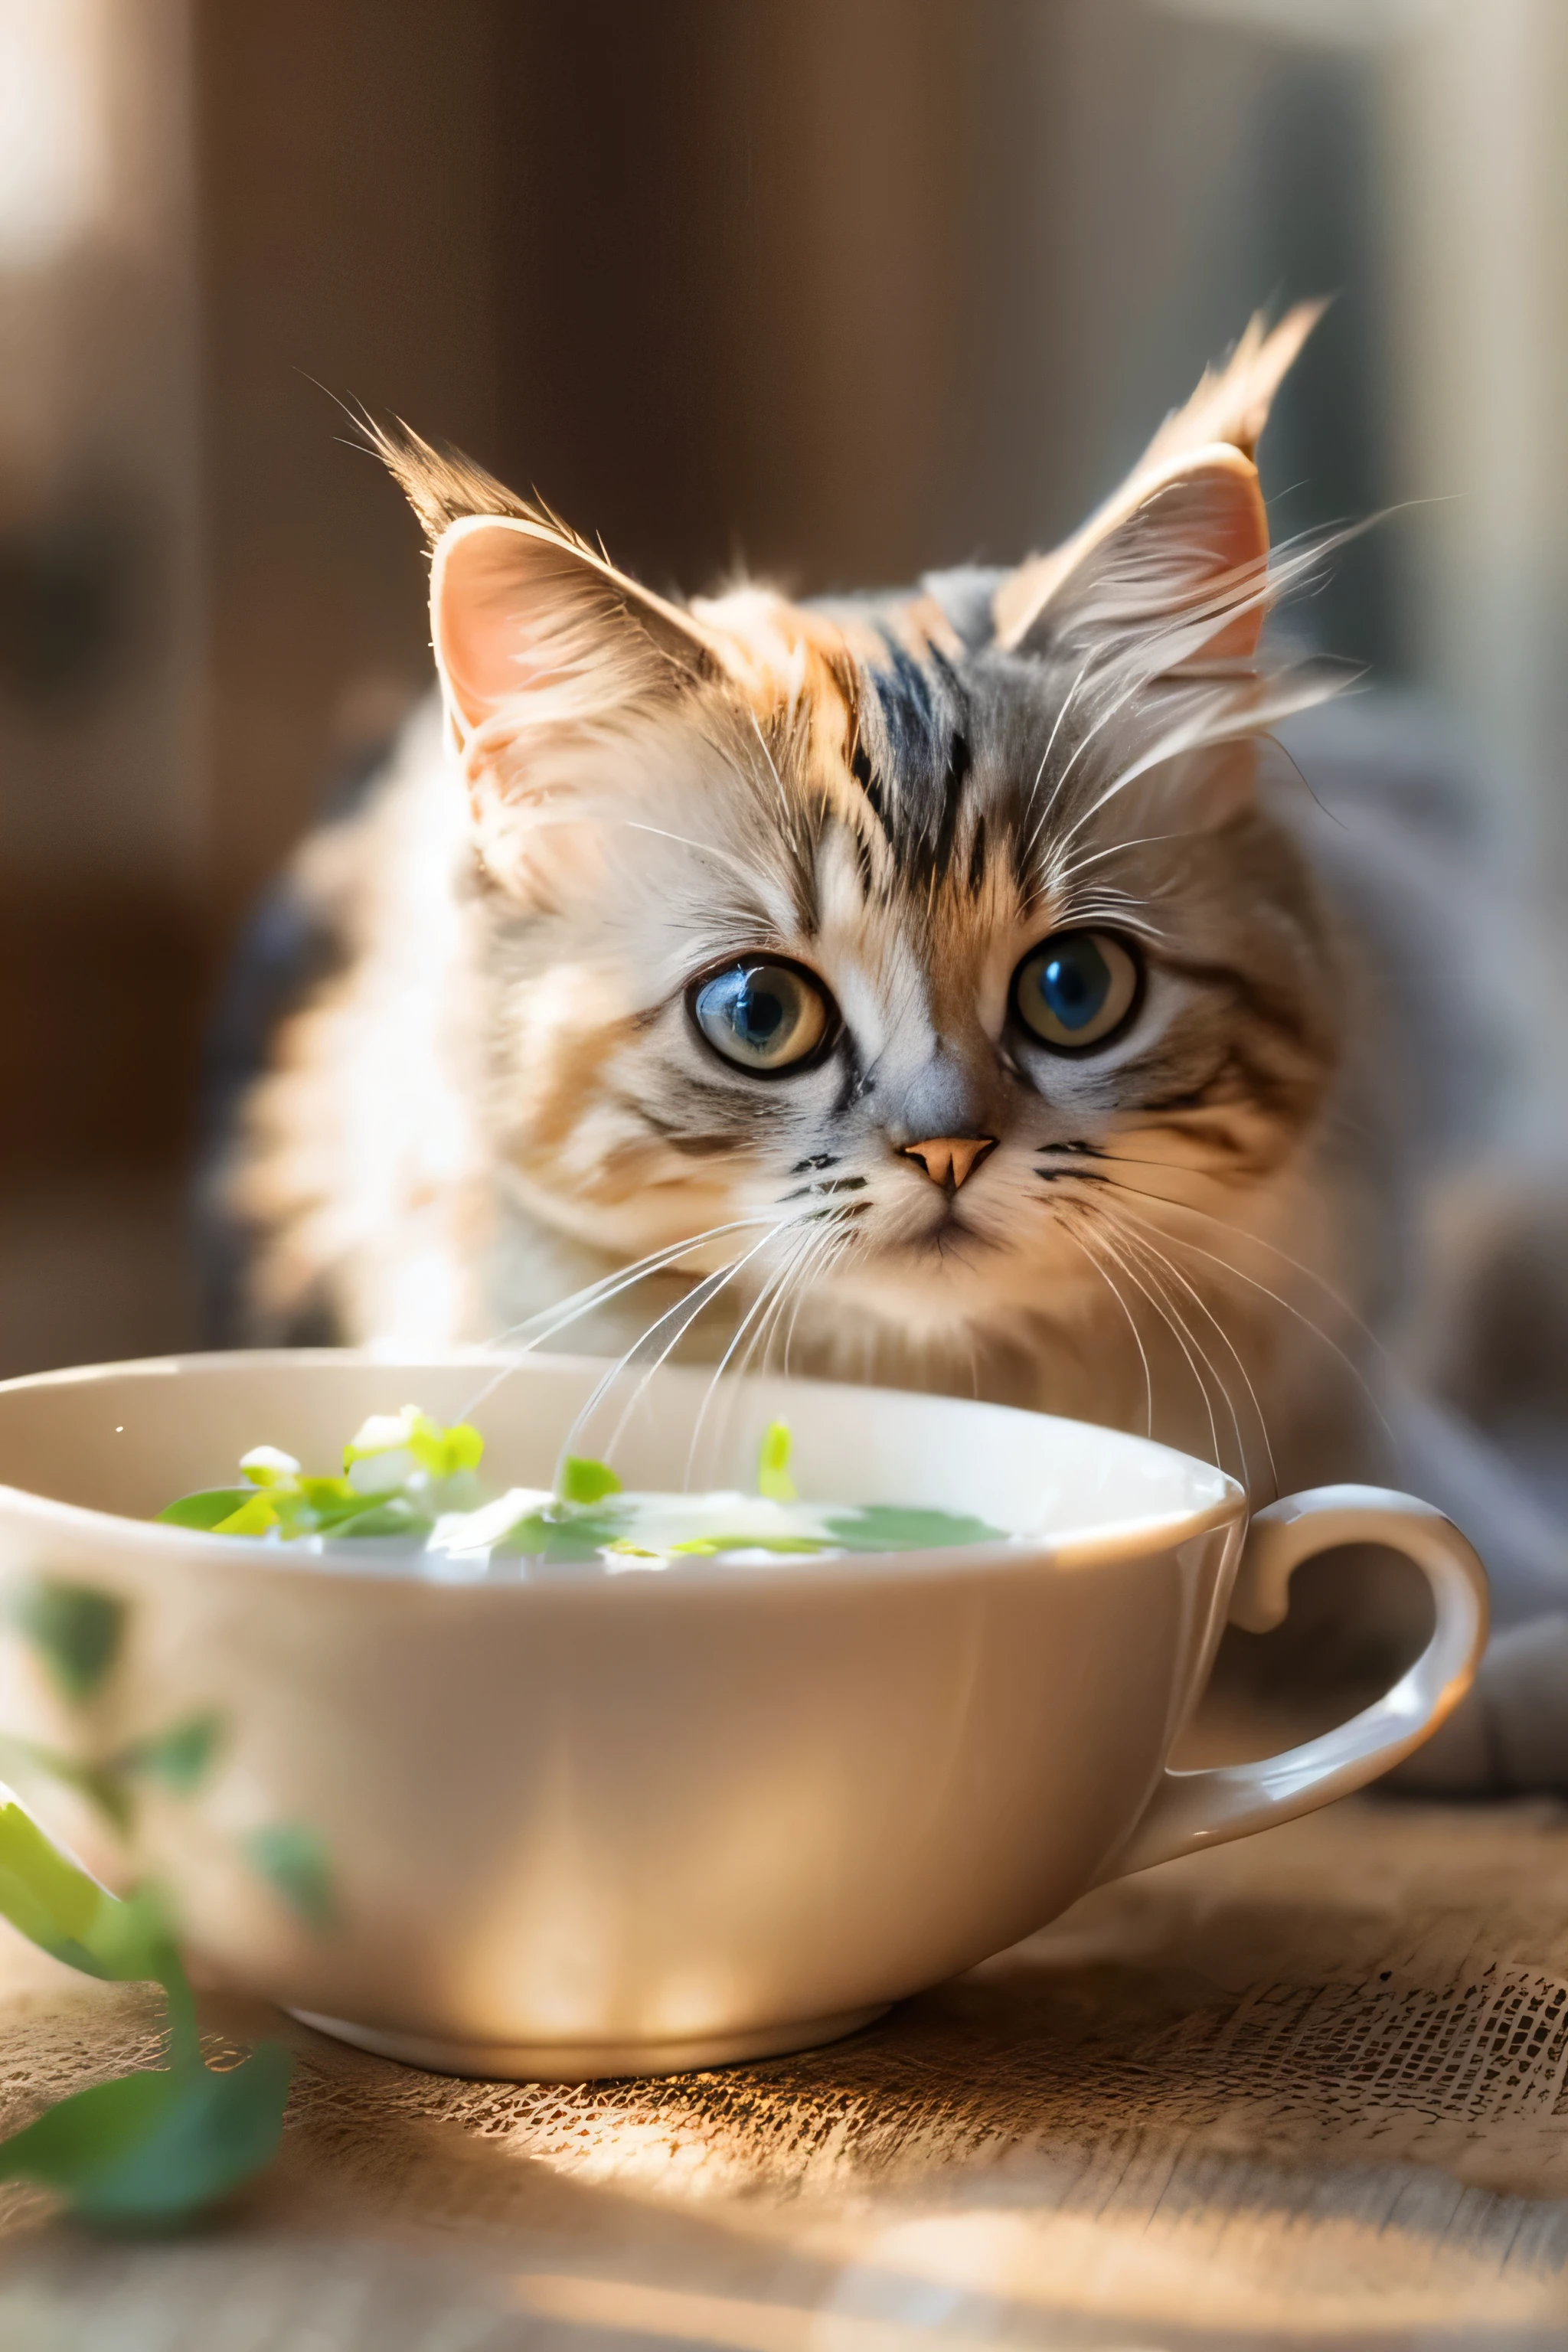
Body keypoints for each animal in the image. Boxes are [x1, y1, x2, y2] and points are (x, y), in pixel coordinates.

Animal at [207, 308, 1568, 1778]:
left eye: (1074, 989)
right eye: (760, 1015)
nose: (948, 1147)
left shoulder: (1350, 1369)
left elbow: (1454, 1524)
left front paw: (1517, 1662)